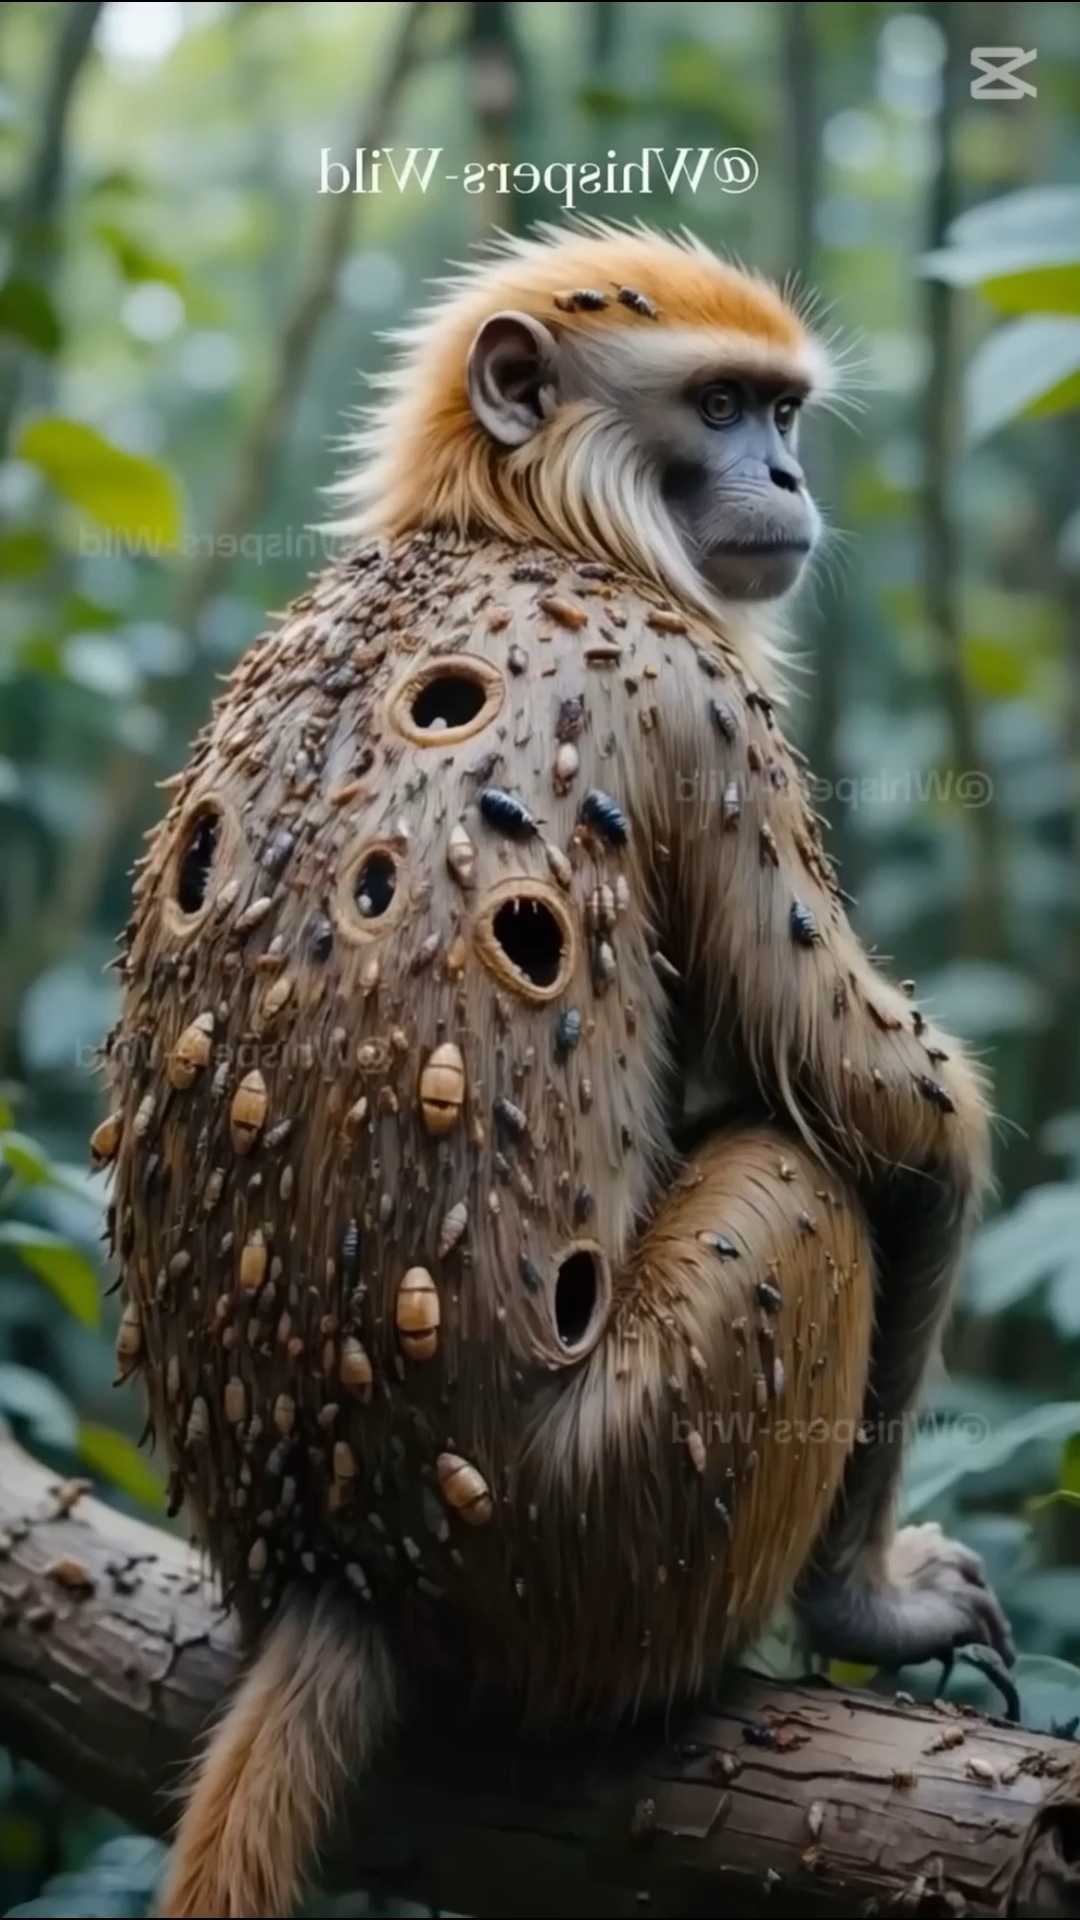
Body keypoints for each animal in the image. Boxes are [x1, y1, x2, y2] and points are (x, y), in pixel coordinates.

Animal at [97, 223, 1011, 1919]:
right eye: (721, 408)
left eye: (784, 416)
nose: (787, 478)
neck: (512, 521)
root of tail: (344, 1576)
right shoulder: (702, 707)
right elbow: (902, 1126)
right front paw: (870, 1609)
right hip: (599, 1532)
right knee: (801, 1176)